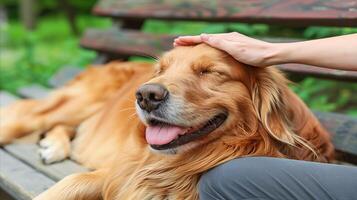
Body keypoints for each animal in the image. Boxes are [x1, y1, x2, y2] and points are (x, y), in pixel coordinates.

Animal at [0, 44, 334, 199]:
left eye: (210, 72)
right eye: (161, 70)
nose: (146, 95)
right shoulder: (123, 173)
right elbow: (72, 182)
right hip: (75, 103)